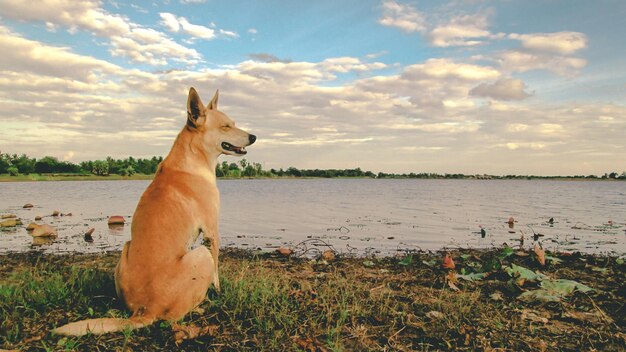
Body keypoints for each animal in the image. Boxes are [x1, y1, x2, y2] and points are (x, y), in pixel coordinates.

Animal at [53, 88, 254, 336]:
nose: (253, 137)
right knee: (175, 315)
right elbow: (217, 272)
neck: (192, 158)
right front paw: (218, 291)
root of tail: (145, 311)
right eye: (225, 126)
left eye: (233, 123)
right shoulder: (211, 232)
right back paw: (200, 307)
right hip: (200, 255)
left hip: (125, 249)